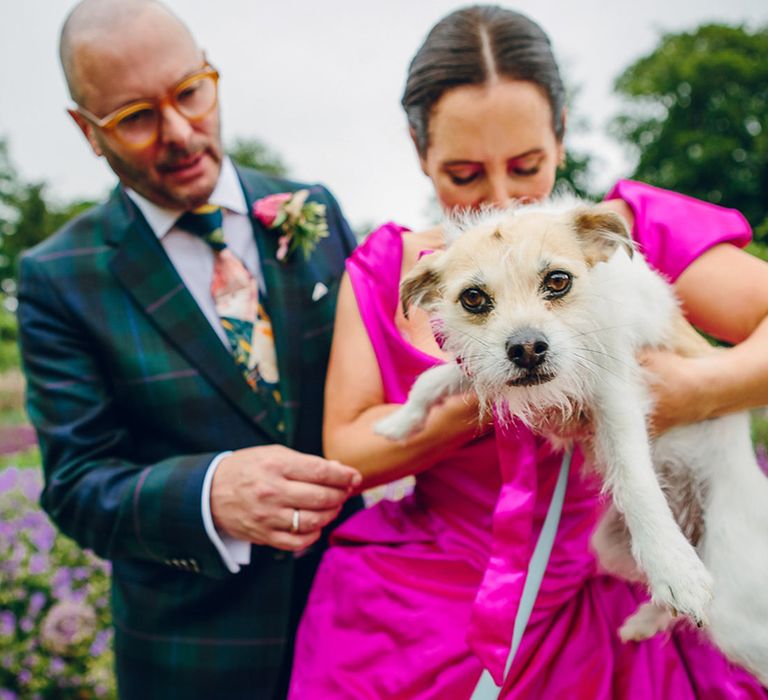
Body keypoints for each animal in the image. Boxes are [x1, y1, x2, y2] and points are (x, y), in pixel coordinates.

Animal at [376, 198, 768, 684]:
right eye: (473, 297)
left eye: (558, 281)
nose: (526, 349)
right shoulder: (484, 365)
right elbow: (432, 379)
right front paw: (400, 423)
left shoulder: (614, 388)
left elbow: (635, 479)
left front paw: (673, 566)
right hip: (611, 547)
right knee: (677, 610)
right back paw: (644, 621)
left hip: (738, 605)